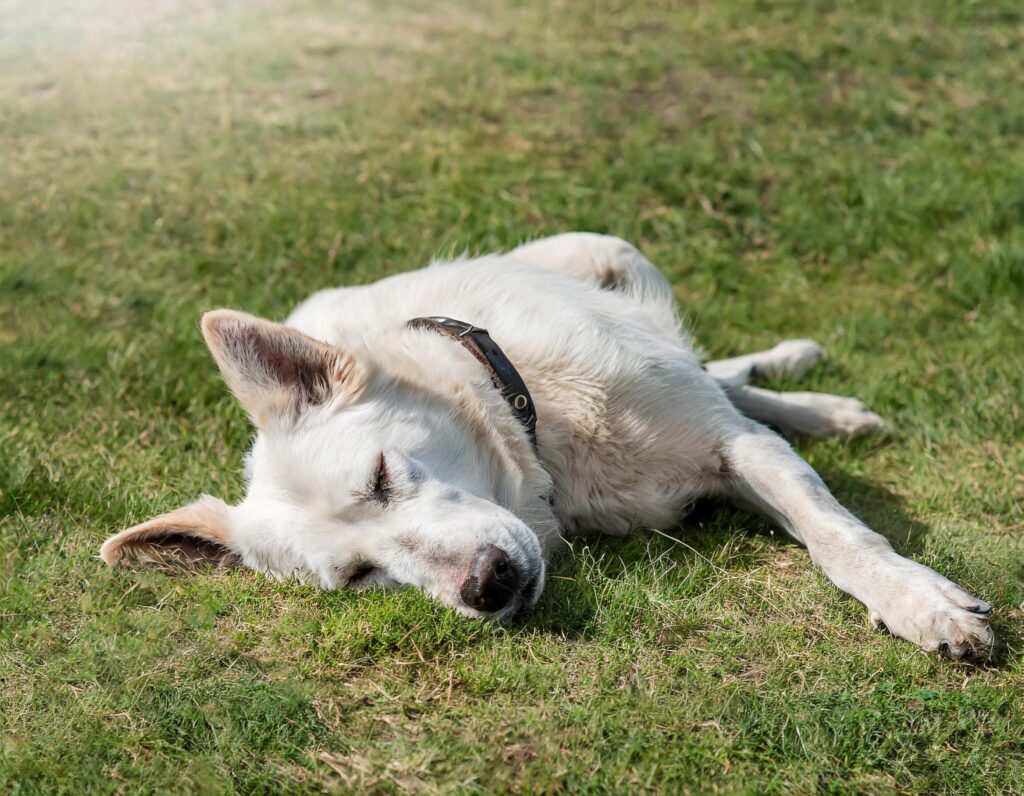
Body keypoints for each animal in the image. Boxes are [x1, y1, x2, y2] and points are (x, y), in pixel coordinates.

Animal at [99, 231, 995, 659]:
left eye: (383, 477)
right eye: (358, 577)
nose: (486, 587)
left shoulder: (737, 446)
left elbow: (840, 539)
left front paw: (920, 604)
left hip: (601, 251)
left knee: (715, 368)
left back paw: (817, 397)